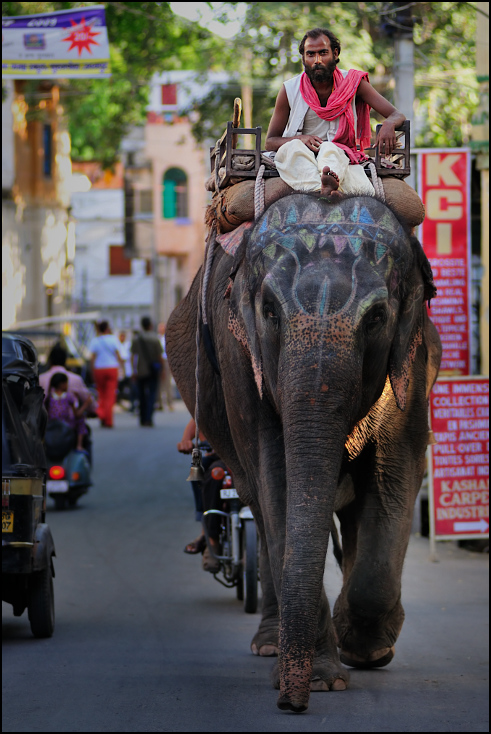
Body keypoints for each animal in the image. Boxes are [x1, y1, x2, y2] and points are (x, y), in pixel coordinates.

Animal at [167, 194, 444, 712]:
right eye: (270, 311)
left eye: (376, 317)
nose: (290, 704)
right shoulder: (242, 362)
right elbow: (276, 481)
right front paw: (320, 679)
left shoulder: (411, 367)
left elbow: (396, 471)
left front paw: (365, 650)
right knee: (258, 506)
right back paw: (271, 645)